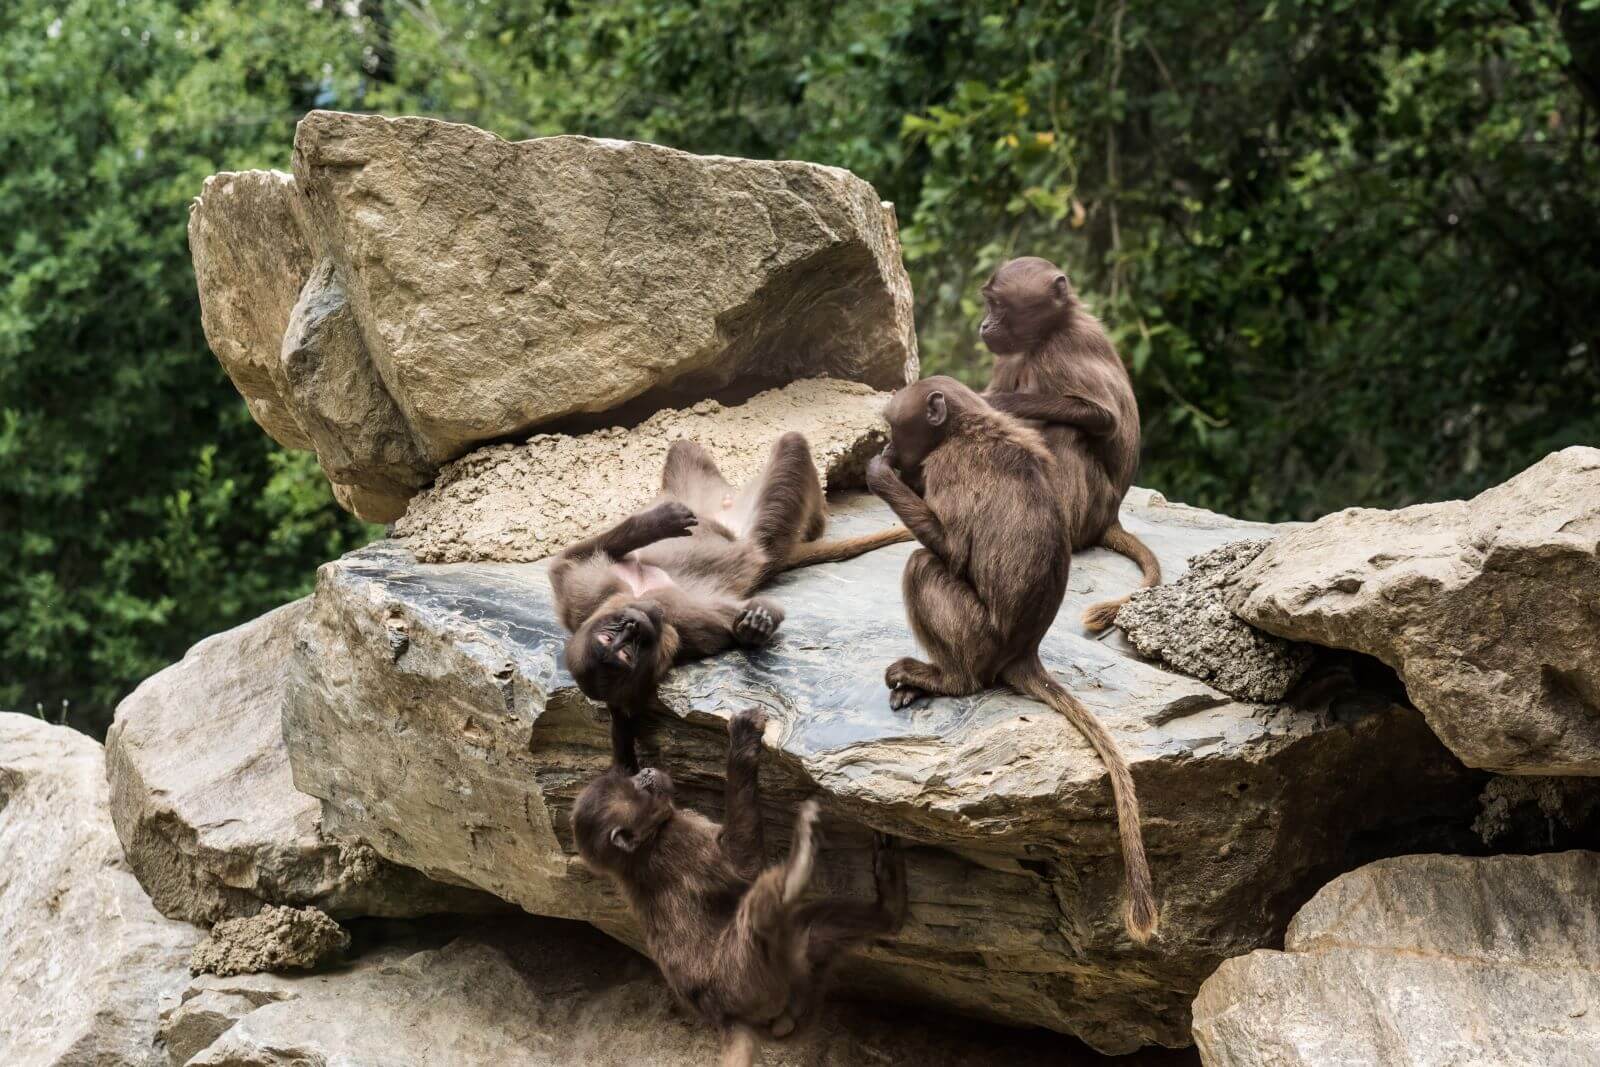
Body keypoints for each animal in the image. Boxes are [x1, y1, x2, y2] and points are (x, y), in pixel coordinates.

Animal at [556, 428, 915, 771]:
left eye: (614, 635)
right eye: (625, 652)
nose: (633, 624)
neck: (637, 595)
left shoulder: (581, 593)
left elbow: (570, 557)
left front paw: (652, 524)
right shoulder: (679, 627)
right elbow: (737, 618)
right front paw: (753, 627)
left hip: (706, 495)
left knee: (690, 451)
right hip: (766, 527)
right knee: (791, 451)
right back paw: (815, 524)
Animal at [576, 710, 908, 1067]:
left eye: (634, 779)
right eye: (638, 788)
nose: (648, 771)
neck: (637, 853)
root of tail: (726, 1017)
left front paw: (622, 718)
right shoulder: (683, 841)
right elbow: (742, 863)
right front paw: (743, 744)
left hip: (794, 989)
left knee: (815, 931)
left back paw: (888, 907)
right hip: (743, 977)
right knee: (757, 915)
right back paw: (798, 864)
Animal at [870, 375, 1158, 940]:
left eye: (895, 426)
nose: (889, 448)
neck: (967, 426)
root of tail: (1025, 651)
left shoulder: (947, 468)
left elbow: (953, 550)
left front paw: (878, 474)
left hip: (977, 636)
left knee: (923, 565)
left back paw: (944, 679)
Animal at [972, 255, 1164, 630]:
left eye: (998, 305)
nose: (984, 326)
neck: (1044, 336)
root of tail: (1110, 518)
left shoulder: (1064, 349)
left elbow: (1104, 417)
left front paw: (995, 403)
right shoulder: (1011, 356)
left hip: (1095, 504)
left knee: (1067, 431)